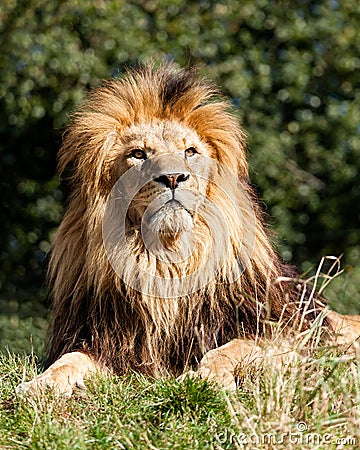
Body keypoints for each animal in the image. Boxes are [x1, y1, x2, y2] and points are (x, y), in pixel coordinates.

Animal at [17, 65, 360, 396]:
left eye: (191, 152)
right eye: (139, 154)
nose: (172, 178)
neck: (168, 259)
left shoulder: (286, 334)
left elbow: (229, 349)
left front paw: (205, 378)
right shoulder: (106, 341)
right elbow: (70, 359)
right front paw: (41, 383)